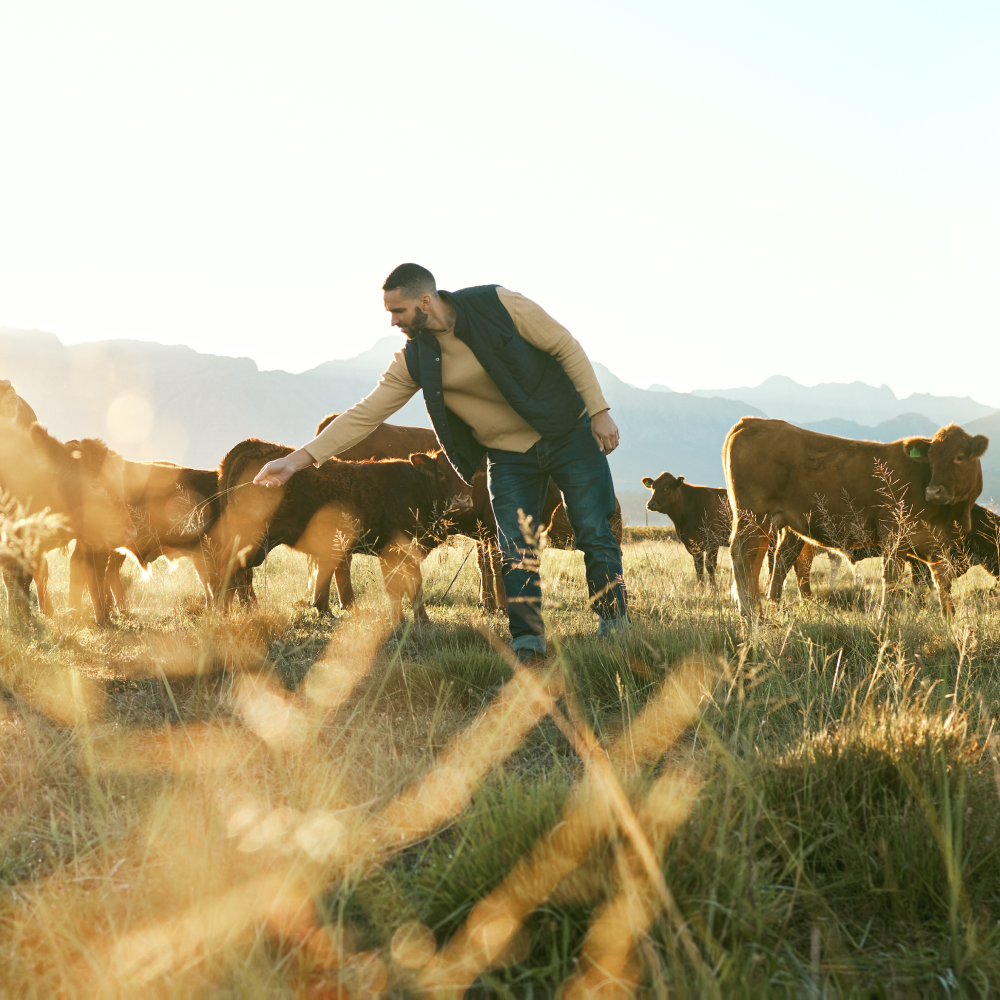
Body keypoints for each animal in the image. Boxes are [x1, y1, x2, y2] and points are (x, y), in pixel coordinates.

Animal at [208, 440, 472, 624]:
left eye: (466, 476)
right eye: (441, 473)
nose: (462, 501)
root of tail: (253, 445)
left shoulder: (409, 551)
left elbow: (415, 586)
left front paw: (422, 621)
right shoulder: (392, 550)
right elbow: (397, 588)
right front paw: (400, 622)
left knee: (238, 574)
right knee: (228, 570)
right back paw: (223, 613)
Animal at [724, 416, 988, 616]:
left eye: (959, 457)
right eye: (931, 460)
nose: (933, 492)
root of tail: (750, 422)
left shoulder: (939, 546)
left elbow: (942, 583)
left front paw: (949, 619)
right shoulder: (893, 534)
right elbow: (891, 577)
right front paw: (885, 619)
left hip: (771, 524)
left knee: (766, 559)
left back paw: (761, 607)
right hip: (752, 516)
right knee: (744, 556)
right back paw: (750, 611)